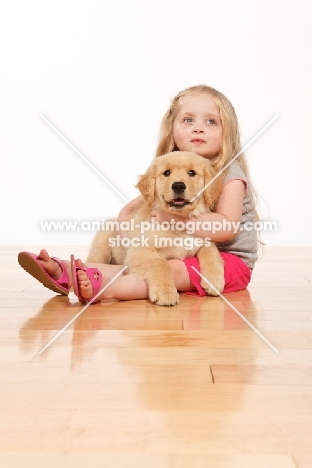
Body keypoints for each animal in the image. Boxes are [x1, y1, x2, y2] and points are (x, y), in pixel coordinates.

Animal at [86, 151, 225, 308]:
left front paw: (214, 280)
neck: (179, 222)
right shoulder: (139, 250)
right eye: (166, 173)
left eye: (192, 173)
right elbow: (161, 263)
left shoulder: (204, 239)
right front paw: (165, 292)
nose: (178, 186)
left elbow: (212, 253)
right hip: (103, 239)